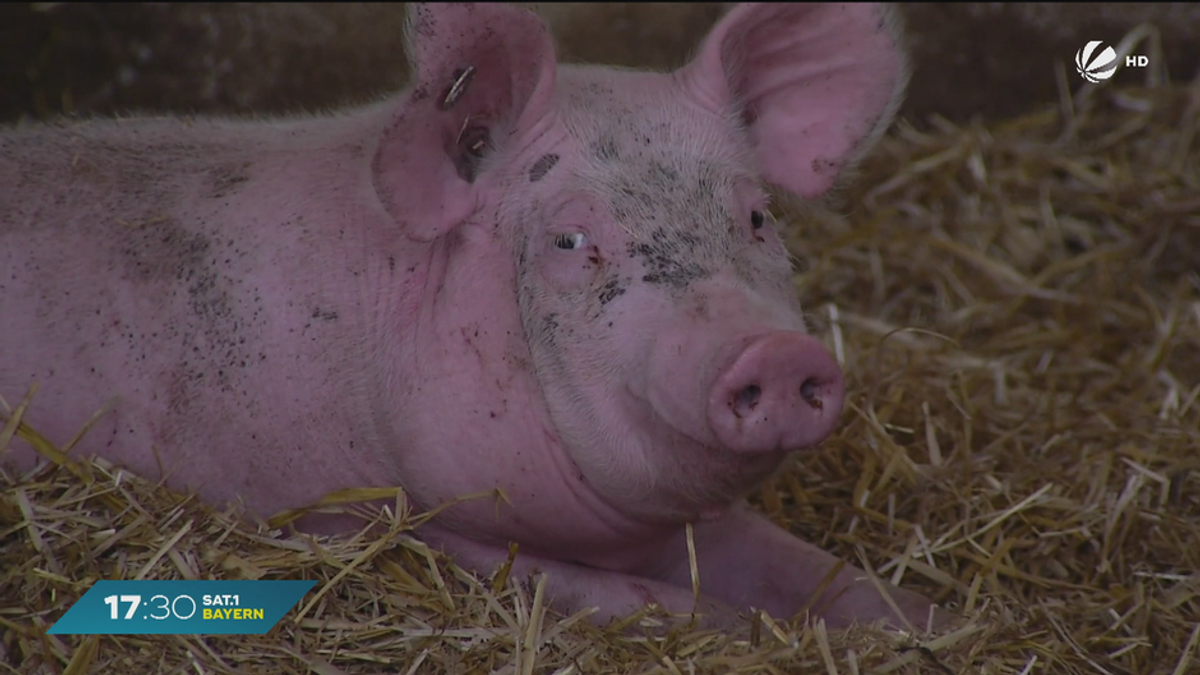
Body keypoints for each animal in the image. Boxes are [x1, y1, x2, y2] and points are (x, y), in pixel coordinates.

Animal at [4, 2, 945, 629]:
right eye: (569, 238)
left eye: (756, 218)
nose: (774, 354)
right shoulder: (349, 515)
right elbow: (636, 597)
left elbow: (821, 571)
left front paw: (921, 621)